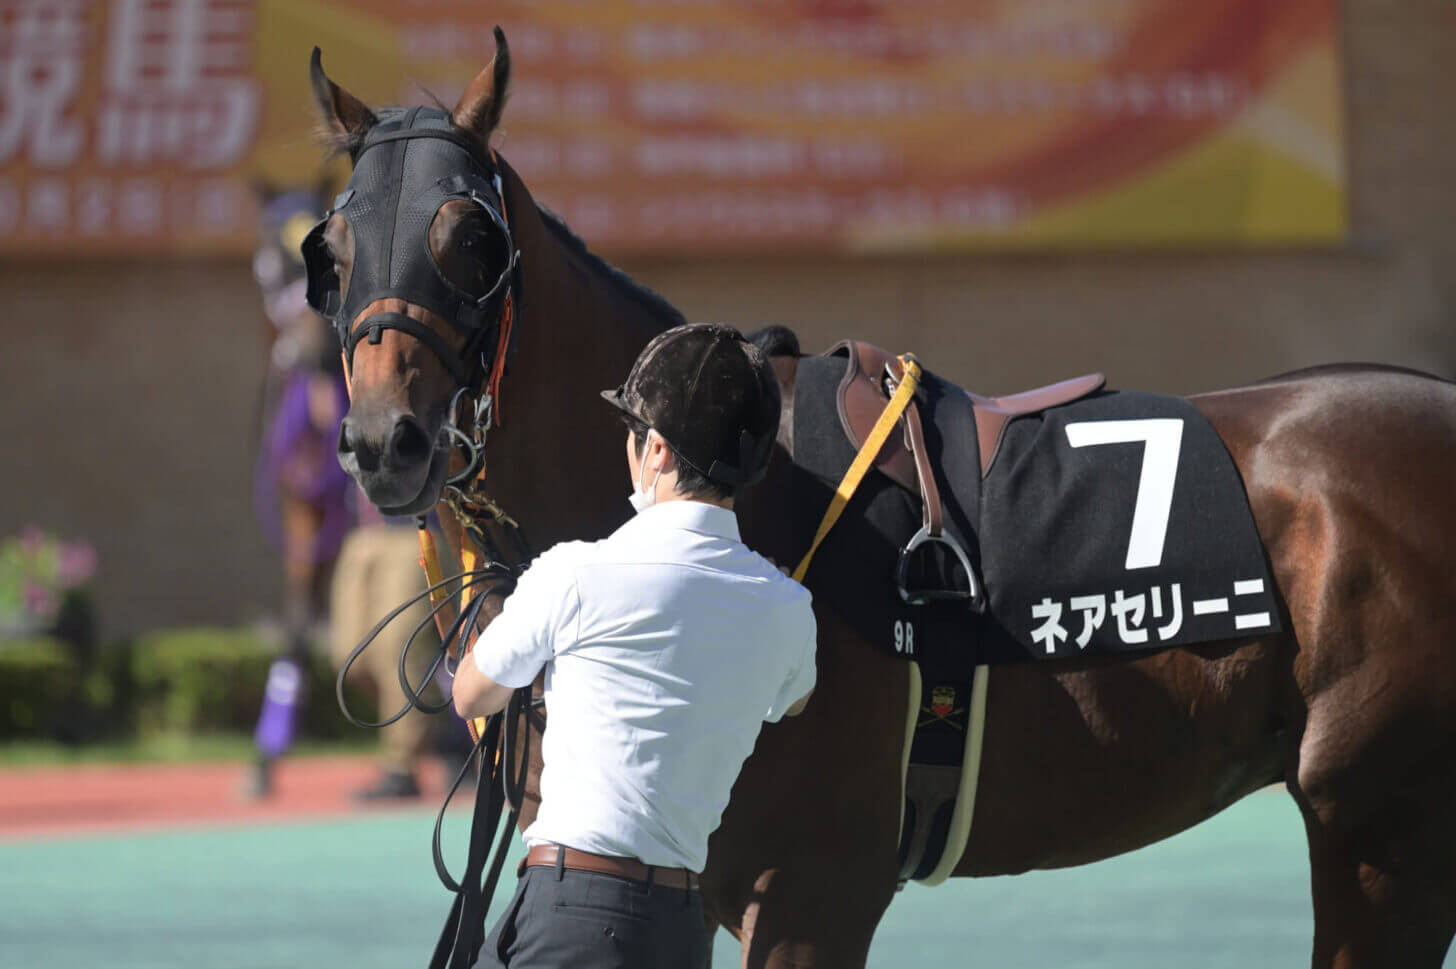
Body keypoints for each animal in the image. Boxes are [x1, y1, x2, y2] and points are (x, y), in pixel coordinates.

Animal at [307, 34, 1456, 960]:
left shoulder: (812, 894)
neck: (744, 497)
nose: (385, 442)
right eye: (332, 249)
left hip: (1379, 831)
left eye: (471, 238)